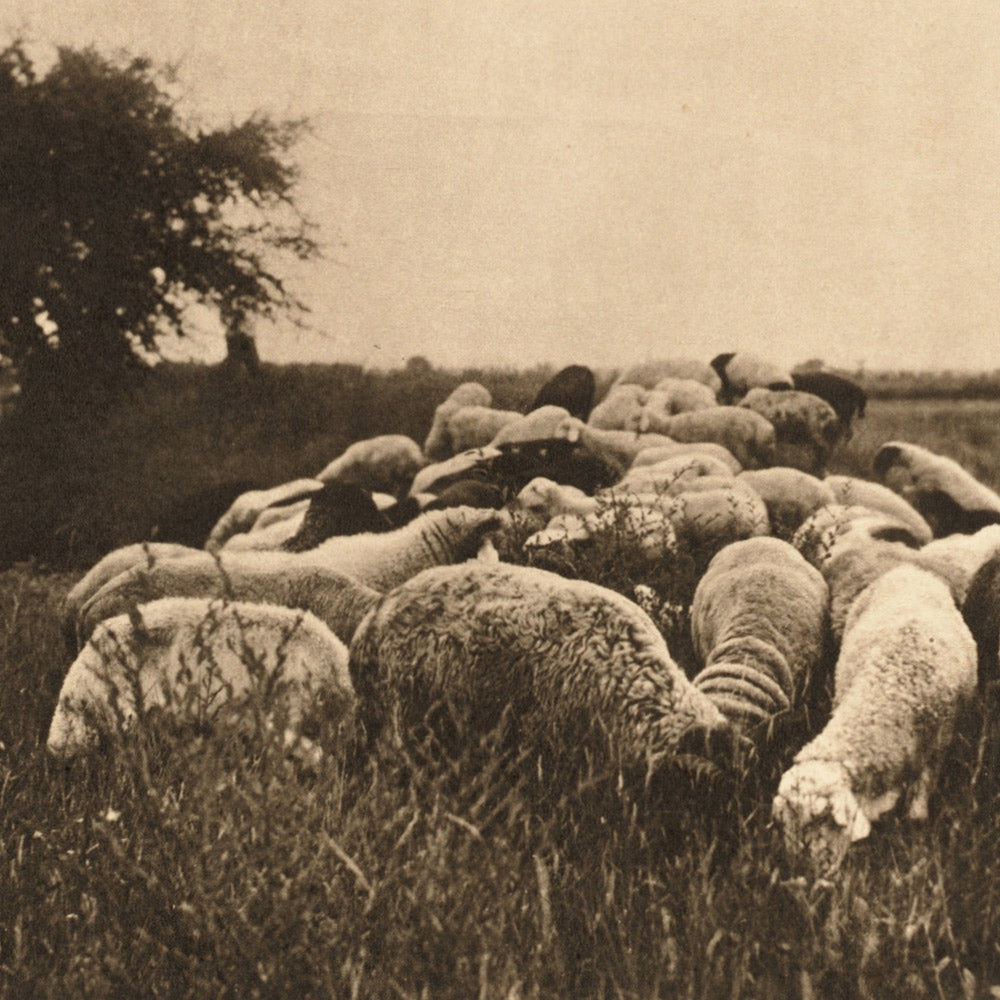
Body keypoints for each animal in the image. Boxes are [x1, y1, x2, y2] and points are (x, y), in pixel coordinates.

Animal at [772, 565, 976, 868]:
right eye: (784, 823)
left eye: (822, 819)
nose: (804, 869)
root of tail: (908, 569)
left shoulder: (938, 744)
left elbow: (918, 808)